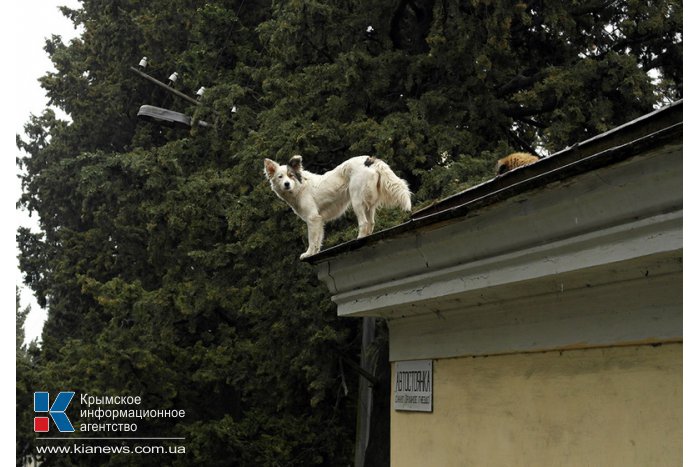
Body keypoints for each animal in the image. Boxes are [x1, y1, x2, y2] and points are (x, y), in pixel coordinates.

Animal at [266, 156, 412, 260]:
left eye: (291, 175)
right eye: (280, 177)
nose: (286, 184)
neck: (299, 187)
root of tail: (369, 159)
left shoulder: (313, 218)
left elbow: (312, 239)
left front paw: (309, 254)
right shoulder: (319, 220)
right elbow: (318, 240)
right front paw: (315, 253)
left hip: (356, 200)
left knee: (364, 223)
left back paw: (359, 238)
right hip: (368, 204)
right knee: (371, 222)